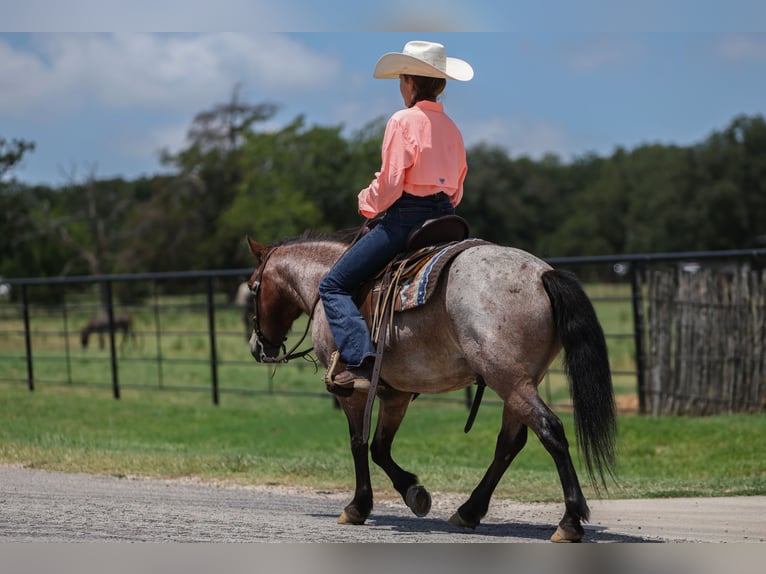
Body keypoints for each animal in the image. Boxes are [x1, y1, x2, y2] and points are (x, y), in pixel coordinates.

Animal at [245, 230, 616, 542]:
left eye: (252, 287)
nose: (256, 346)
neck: (325, 283)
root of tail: (541, 275)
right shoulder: (397, 393)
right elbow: (380, 447)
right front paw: (414, 493)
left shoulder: (351, 389)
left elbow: (359, 443)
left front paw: (358, 507)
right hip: (519, 381)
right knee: (510, 442)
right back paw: (469, 511)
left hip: (507, 378)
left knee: (550, 430)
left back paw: (569, 522)